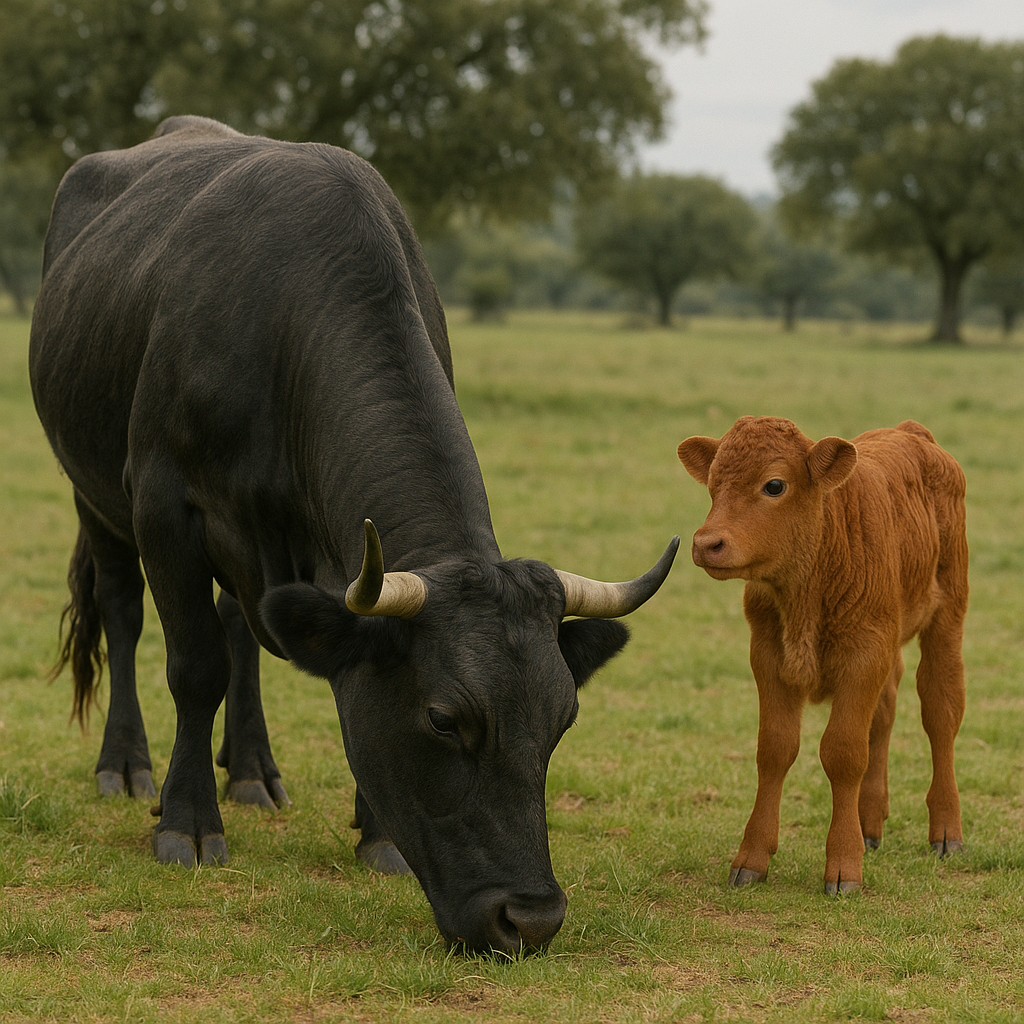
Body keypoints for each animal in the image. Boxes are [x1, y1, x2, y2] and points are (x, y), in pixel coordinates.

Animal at [29, 115, 679, 954]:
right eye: (443, 719)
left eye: (562, 718)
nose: (530, 918)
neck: (281, 328)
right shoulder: (164, 505)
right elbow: (195, 667)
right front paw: (187, 823)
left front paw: (377, 836)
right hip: (94, 494)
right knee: (124, 609)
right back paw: (127, 765)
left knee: (240, 626)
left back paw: (252, 771)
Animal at [676, 416, 967, 893]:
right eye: (713, 484)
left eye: (774, 485)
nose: (706, 543)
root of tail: (910, 431)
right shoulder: (768, 656)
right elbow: (774, 749)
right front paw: (752, 858)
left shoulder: (863, 657)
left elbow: (843, 753)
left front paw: (844, 866)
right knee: (885, 714)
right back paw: (870, 824)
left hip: (948, 618)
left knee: (941, 713)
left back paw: (945, 832)